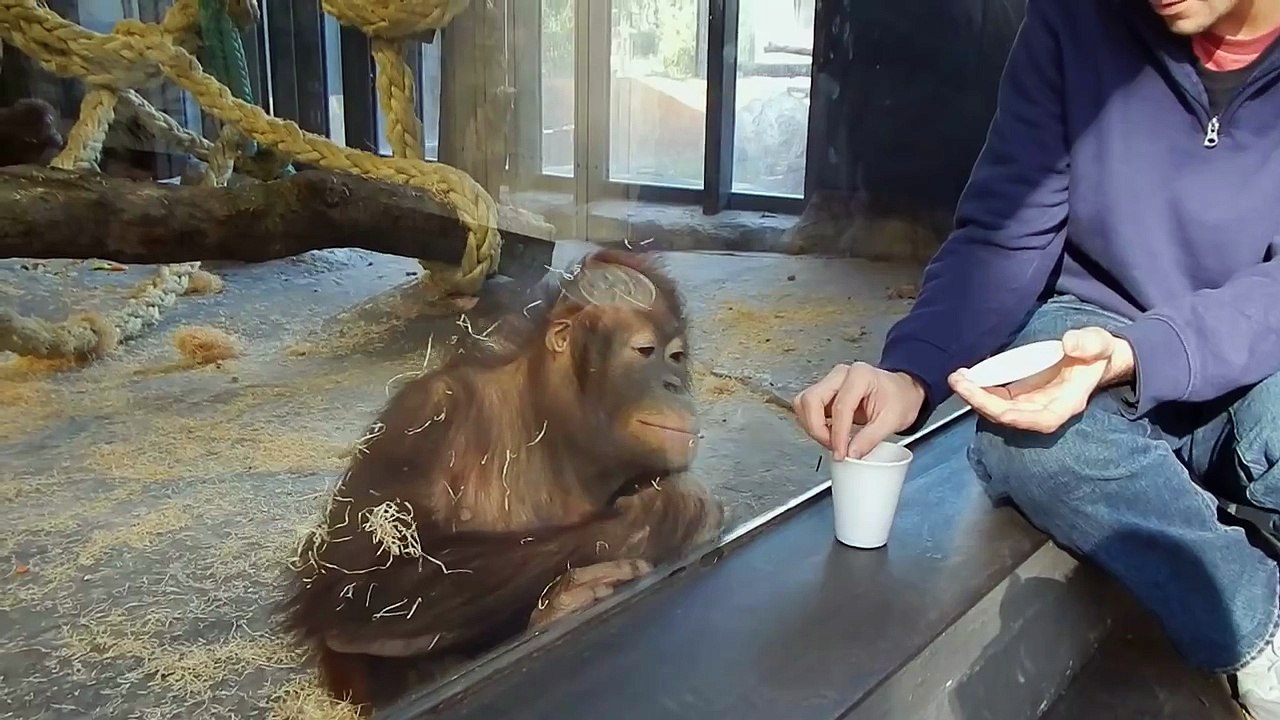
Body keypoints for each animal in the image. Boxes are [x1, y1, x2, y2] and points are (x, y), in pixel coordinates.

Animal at [275, 248, 725, 712]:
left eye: (676, 358)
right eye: (645, 350)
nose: (673, 385)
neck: (552, 425)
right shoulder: (421, 419)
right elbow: (359, 585)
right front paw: (667, 515)